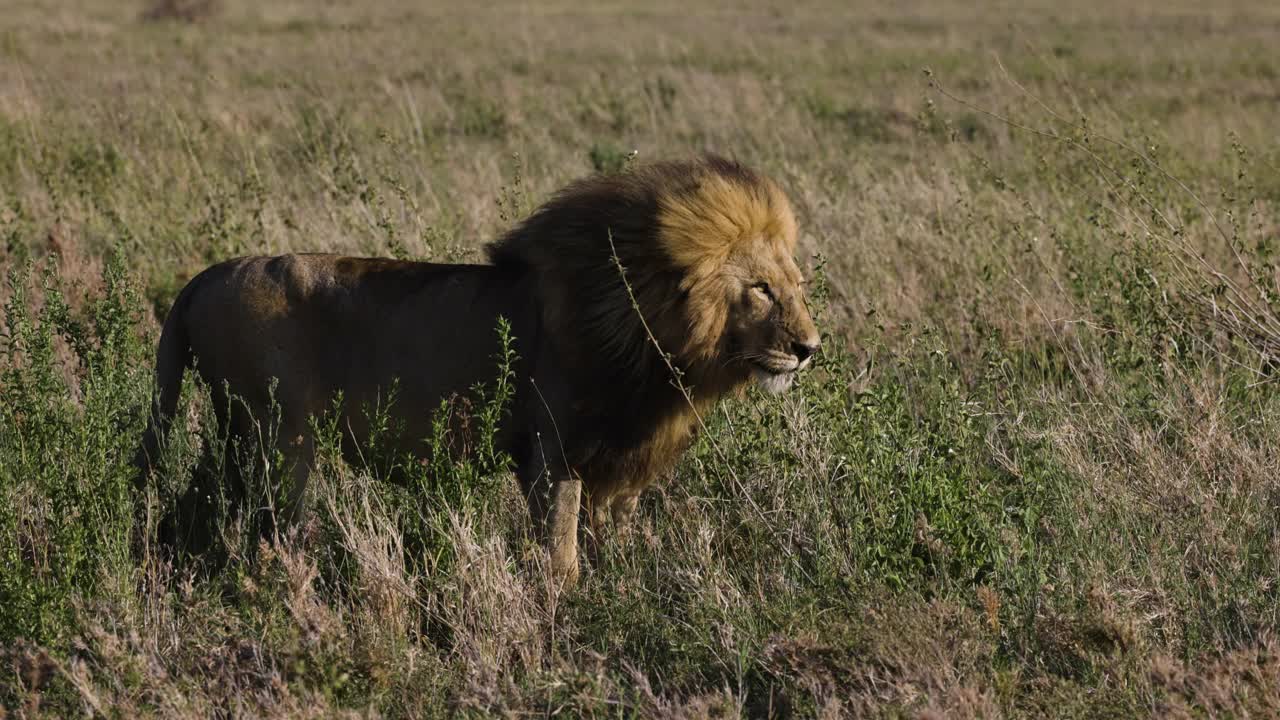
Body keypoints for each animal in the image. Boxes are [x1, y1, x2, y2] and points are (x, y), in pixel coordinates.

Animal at [137, 155, 819, 584]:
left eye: (798, 286)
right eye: (760, 289)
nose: (810, 347)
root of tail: (206, 276)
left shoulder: (622, 470)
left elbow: (609, 546)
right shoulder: (553, 458)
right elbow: (560, 556)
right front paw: (564, 612)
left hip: (238, 433)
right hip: (281, 438)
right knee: (272, 529)